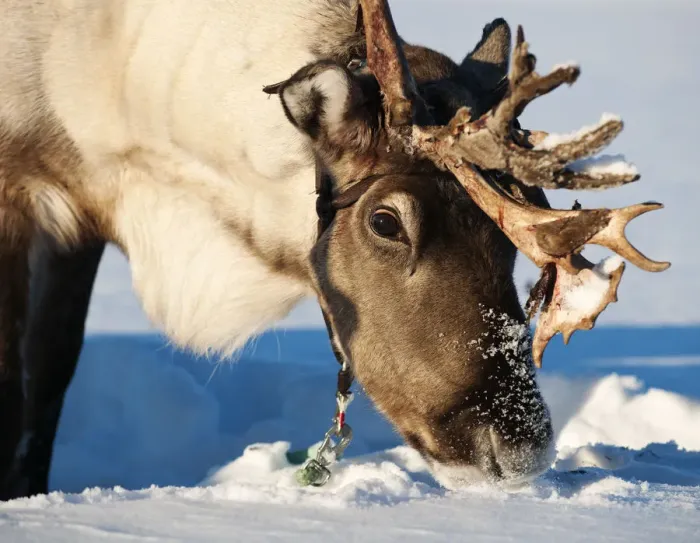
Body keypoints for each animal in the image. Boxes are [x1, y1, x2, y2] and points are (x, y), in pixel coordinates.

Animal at [0, 0, 669, 500]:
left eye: (517, 216)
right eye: (385, 221)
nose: (521, 448)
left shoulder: (84, 209)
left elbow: (51, 376)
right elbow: (18, 382)